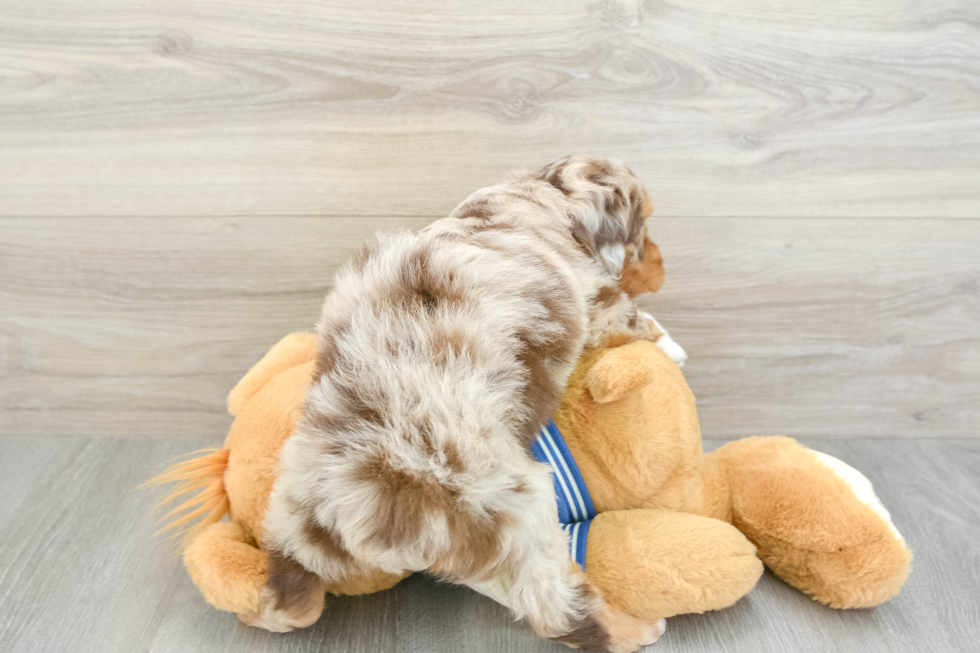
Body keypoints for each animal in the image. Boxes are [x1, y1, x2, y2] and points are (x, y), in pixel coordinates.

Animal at [249, 155, 668, 648]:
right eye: (644, 224)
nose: (662, 266)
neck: (536, 197)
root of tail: (346, 510)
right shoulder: (598, 300)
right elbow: (632, 320)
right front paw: (663, 339)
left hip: (291, 522)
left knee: (288, 601)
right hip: (517, 507)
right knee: (553, 608)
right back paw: (632, 629)